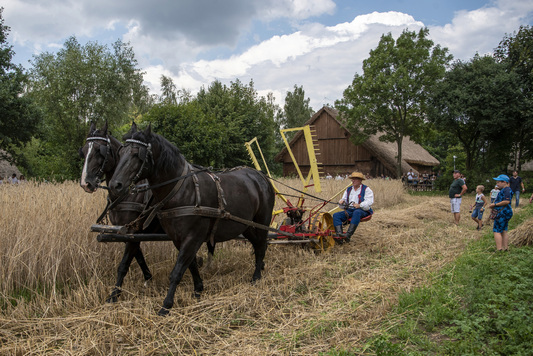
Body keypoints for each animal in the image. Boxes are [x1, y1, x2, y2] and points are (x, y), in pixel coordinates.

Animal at [79, 122, 208, 304]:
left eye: (99, 150)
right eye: (83, 151)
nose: (86, 183)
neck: (128, 194)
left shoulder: (134, 230)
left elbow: (124, 264)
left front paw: (114, 294)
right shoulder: (129, 232)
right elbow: (138, 256)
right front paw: (148, 278)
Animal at [108, 124, 274, 316]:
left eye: (137, 154)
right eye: (121, 152)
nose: (115, 185)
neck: (181, 190)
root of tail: (260, 175)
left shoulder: (192, 236)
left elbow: (177, 270)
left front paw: (166, 306)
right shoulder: (177, 238)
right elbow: (191, 264)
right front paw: (198, 290)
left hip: (262, 222)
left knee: (261, 245)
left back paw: (256, 277)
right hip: (245, 225)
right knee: (257, 244)